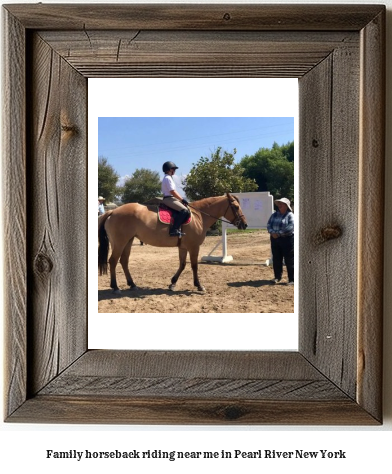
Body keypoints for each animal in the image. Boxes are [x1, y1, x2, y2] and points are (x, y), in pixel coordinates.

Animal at [99, 192, 248, 292]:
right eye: (235, 207)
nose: (244, 225)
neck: (198, 216)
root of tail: (113, 211)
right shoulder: (194, 247)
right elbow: (194, 266)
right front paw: (199, 286)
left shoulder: (183, 247)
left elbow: (182, 264)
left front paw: (172, 283)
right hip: (120, 243)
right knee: (113, 261)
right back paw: (115, 287)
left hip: (128, 241)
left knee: (124, 261)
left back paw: (132, 284)